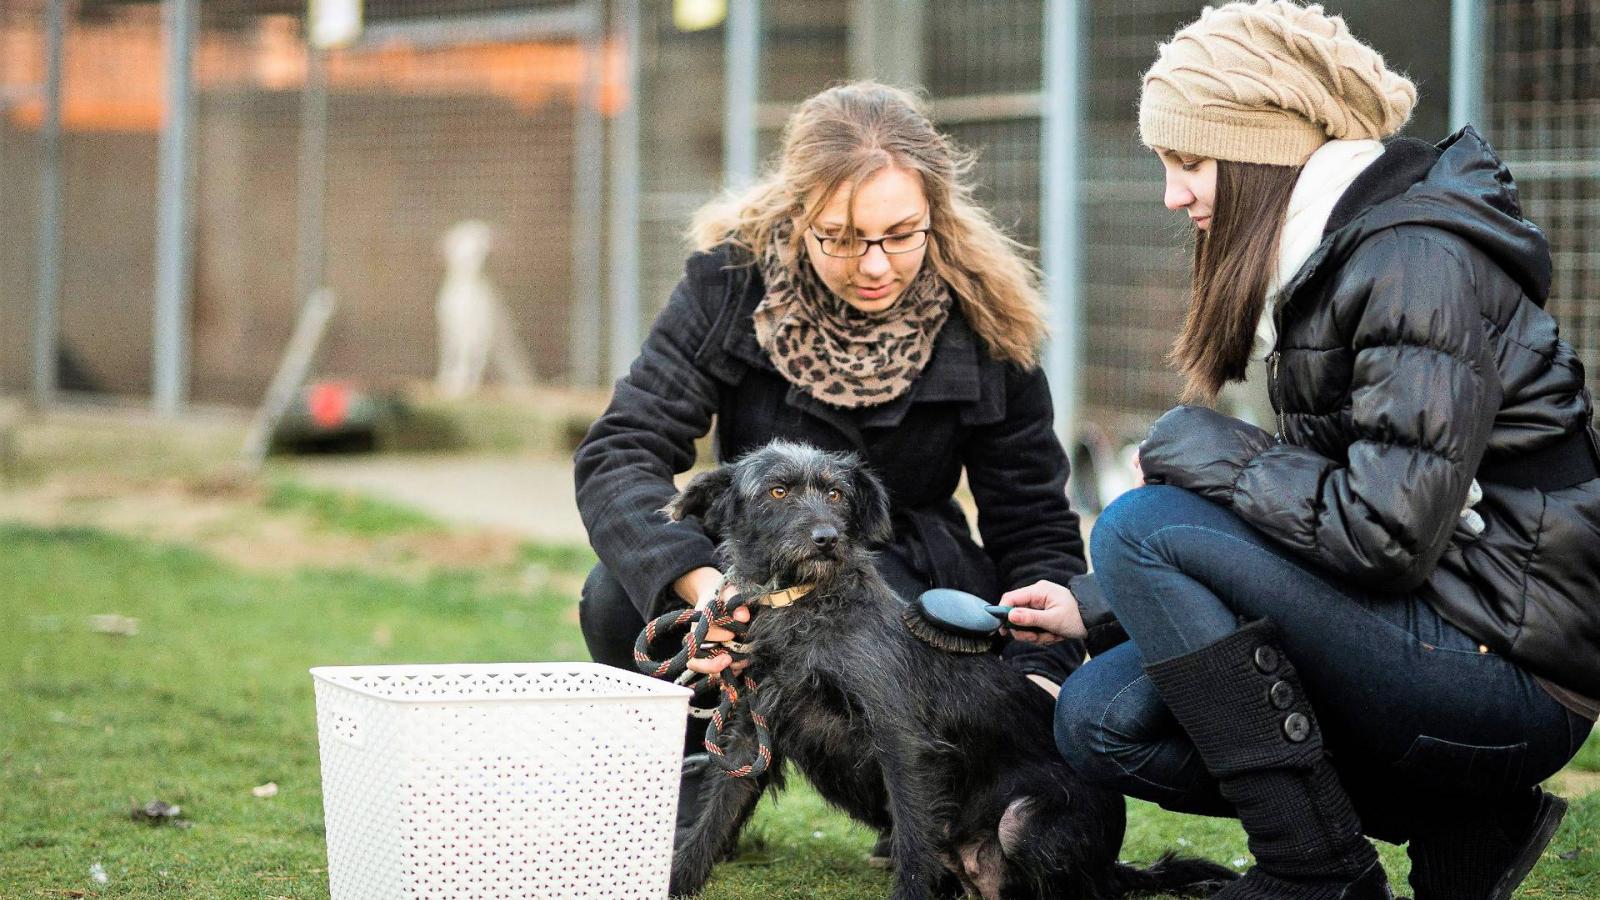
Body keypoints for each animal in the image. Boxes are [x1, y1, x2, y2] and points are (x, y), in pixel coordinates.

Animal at [435, 217, 534, 395]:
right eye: (460, 240)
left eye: (483, 242)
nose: (475, 254)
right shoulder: (449, 328)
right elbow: (449, 357)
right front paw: (446, 382)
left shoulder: (480, 330)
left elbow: (471, 360)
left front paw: (463, 385)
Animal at [662, 441, 1235, 896]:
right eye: (777, 492)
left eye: (836, 495)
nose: (827, 538)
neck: (806, 602)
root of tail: (1110, 867)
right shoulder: (748, 737)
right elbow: (713, 823)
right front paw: (676, 879)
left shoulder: (901, 741)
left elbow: (914, 838)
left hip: (1026, 824)